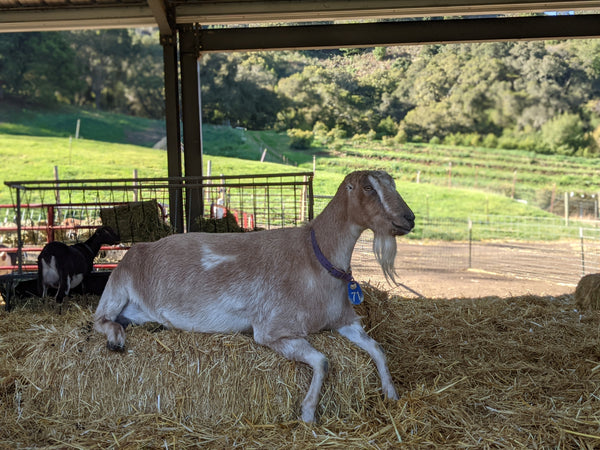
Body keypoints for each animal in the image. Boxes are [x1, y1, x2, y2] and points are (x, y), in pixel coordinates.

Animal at [94, 170, 414, 422]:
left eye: (393, 183)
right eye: (368, 188)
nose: (409, 218)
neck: (314, 258)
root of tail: (138, 248)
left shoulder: (344, 320)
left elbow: (378, 349)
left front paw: (391, 393)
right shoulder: (273, 330)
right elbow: (323, 362)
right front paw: (308, 412)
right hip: (117, 286)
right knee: (100, 319)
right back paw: (116, 338)